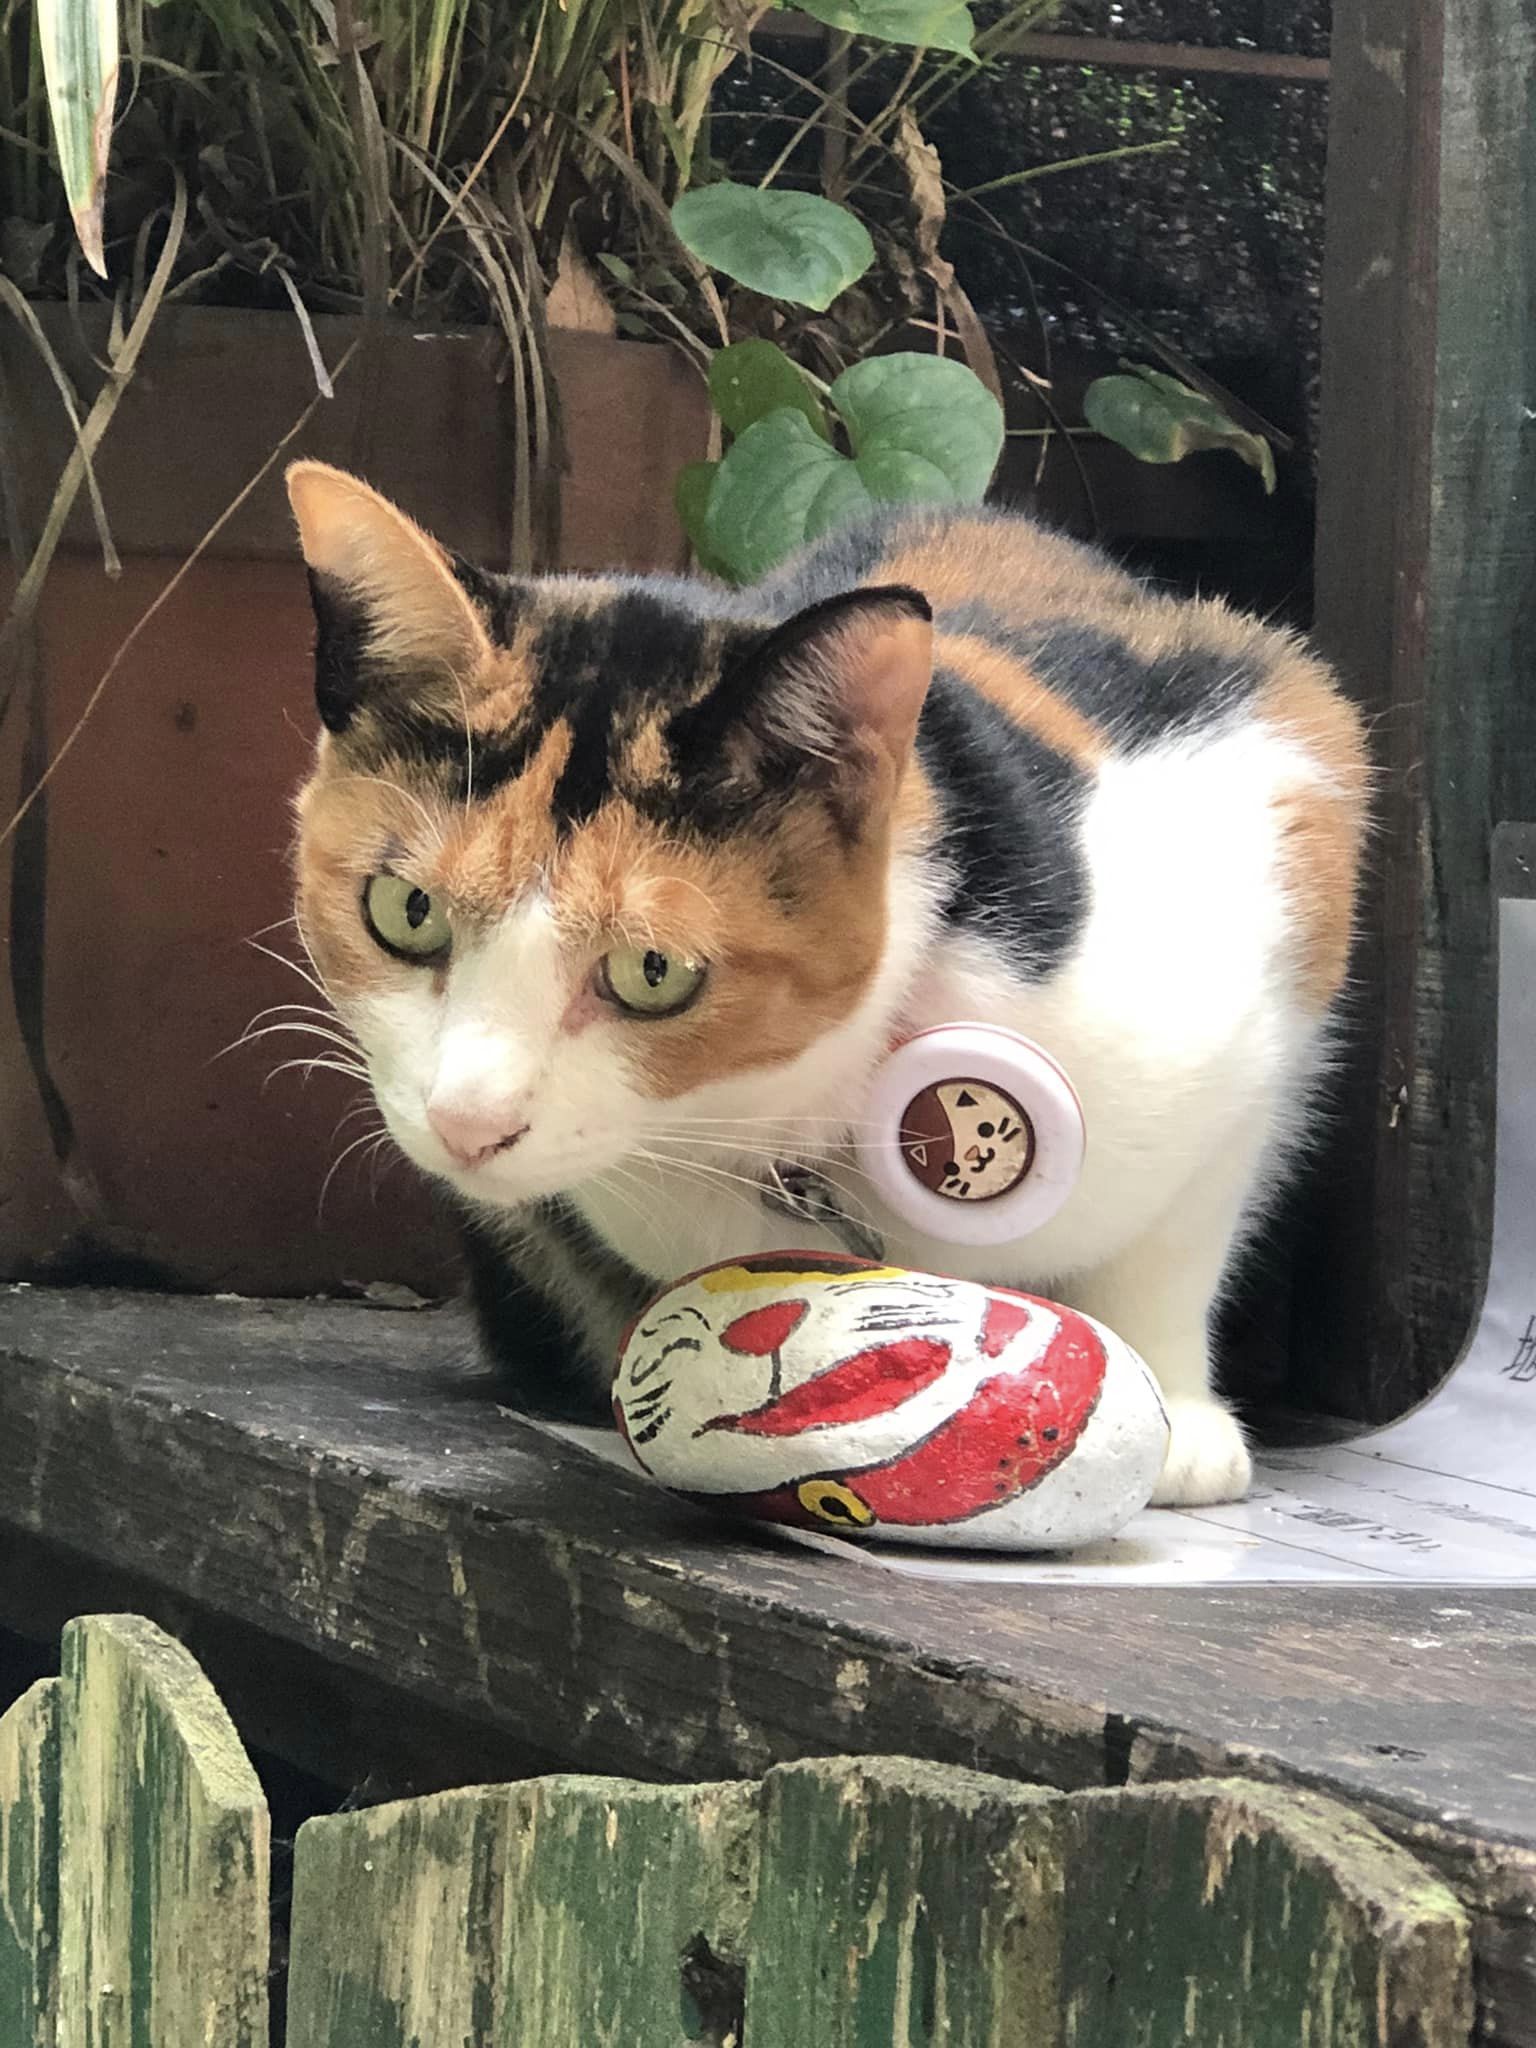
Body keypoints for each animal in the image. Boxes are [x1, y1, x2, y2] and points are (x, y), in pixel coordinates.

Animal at [284, 460, 1367, 1507]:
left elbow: (1176, 1243)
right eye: (405, 910)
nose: (467, 1123)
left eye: (652, 970)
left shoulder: (1265, 850)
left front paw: (1179, 1418)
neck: (805, 1108)